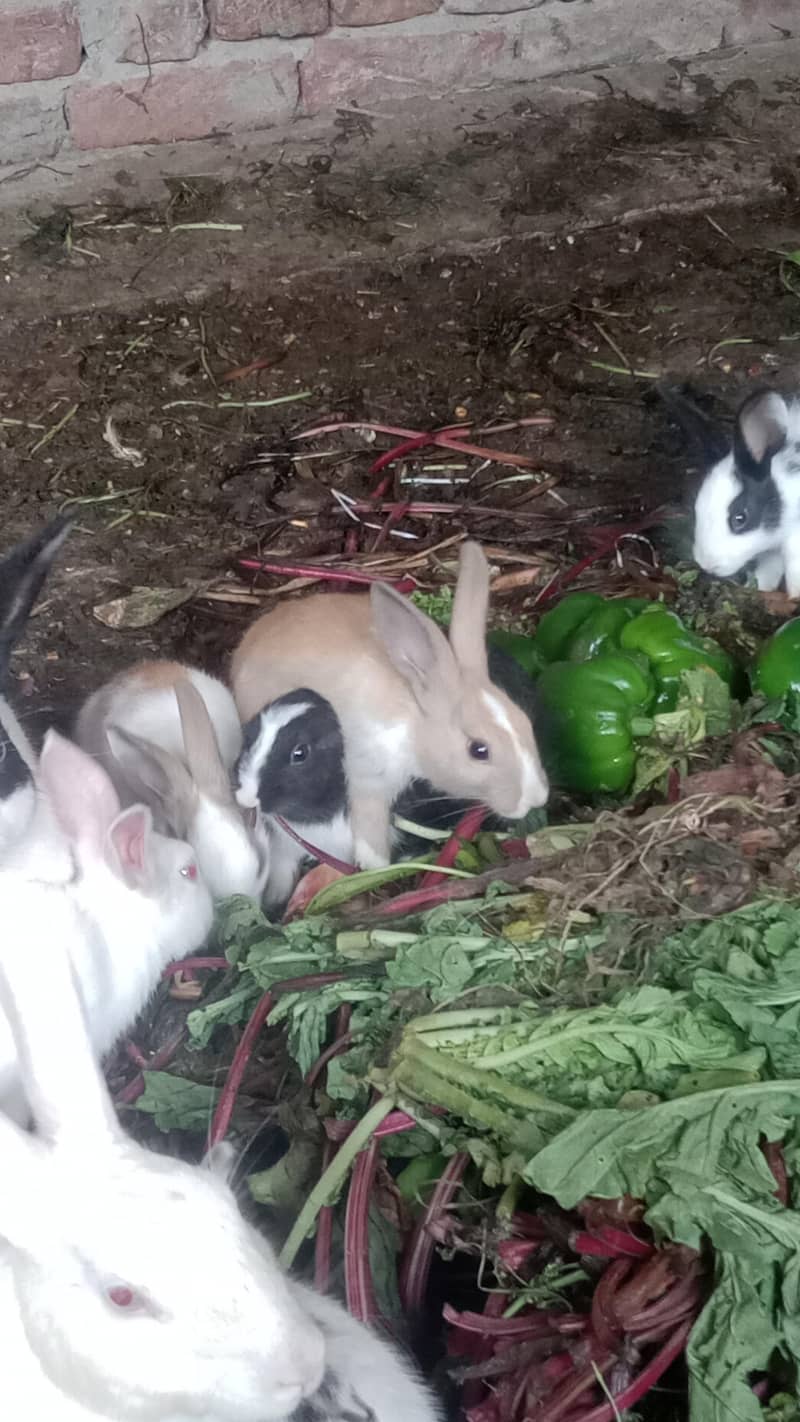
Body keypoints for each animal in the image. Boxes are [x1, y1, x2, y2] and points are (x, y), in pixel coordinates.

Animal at [230, 542, 548, 872]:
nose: (536, 797)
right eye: (479, 750)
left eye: (525, 723)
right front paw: (378, 868)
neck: (414, 721)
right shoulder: (367, 783)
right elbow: (371, 838)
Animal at [663, 384, 800, 594]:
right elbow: (769, 571)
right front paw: (760, 590)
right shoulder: (772, 550)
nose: (708, 564)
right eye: (696, 509)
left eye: (740, 518)